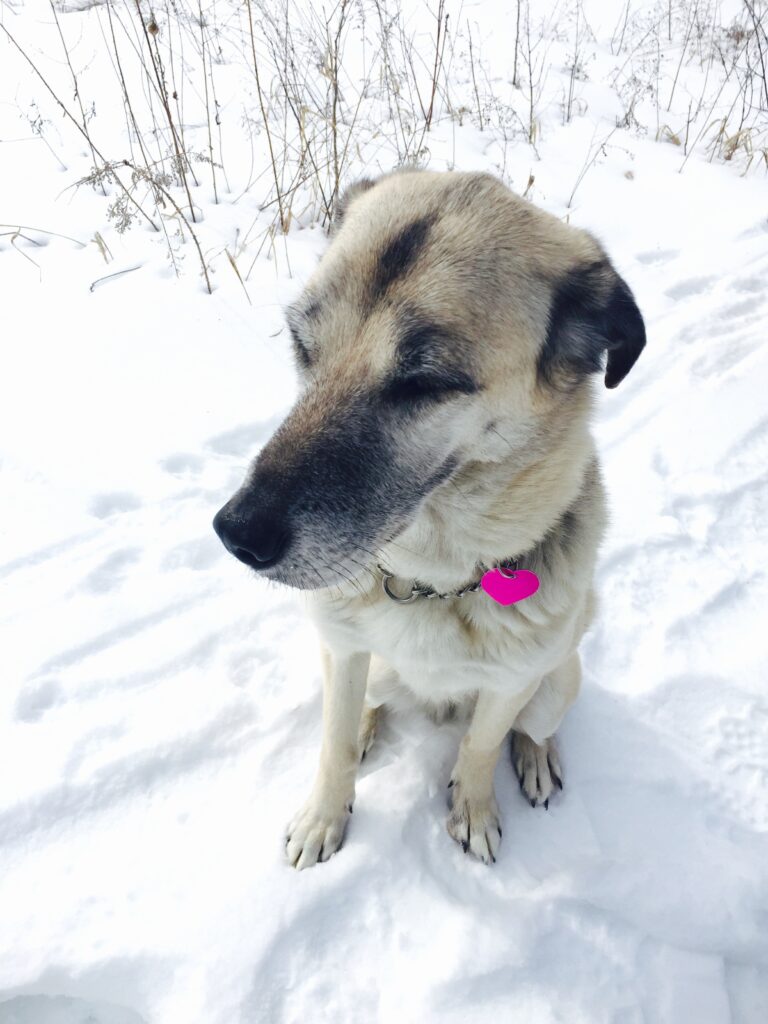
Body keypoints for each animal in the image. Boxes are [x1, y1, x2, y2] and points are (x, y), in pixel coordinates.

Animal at [214, 169, 647, 872]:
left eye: (425, 382)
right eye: (303, 347)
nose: (237, 535)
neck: (432, 583)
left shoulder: (509, 685)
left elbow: (479, 747)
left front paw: (473, 810)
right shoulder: (345, 647)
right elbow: (333, 746)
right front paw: (324, 817)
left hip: (556, 682)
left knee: (532, 726)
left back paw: (536, 756)